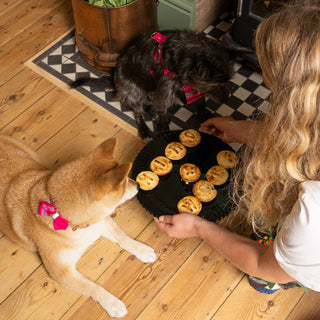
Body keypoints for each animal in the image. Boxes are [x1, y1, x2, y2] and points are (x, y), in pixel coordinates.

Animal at [0, 135, 156, 318]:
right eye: (124, 184)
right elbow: (92, 287)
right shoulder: (62, 272)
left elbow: (123, 237)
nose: (138, 184)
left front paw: (142, 250)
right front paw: (112, 303)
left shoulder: (101, 223)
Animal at [72, 30, 250, 139]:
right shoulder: (163, 95)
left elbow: (200, 100)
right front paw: (165, 133)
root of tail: (114, 78)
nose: (226, 100)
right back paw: (144, 128)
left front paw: (203, 112)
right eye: (214, 85)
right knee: (137, 111)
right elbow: (163, 116)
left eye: (228, 81)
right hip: (133, 92)